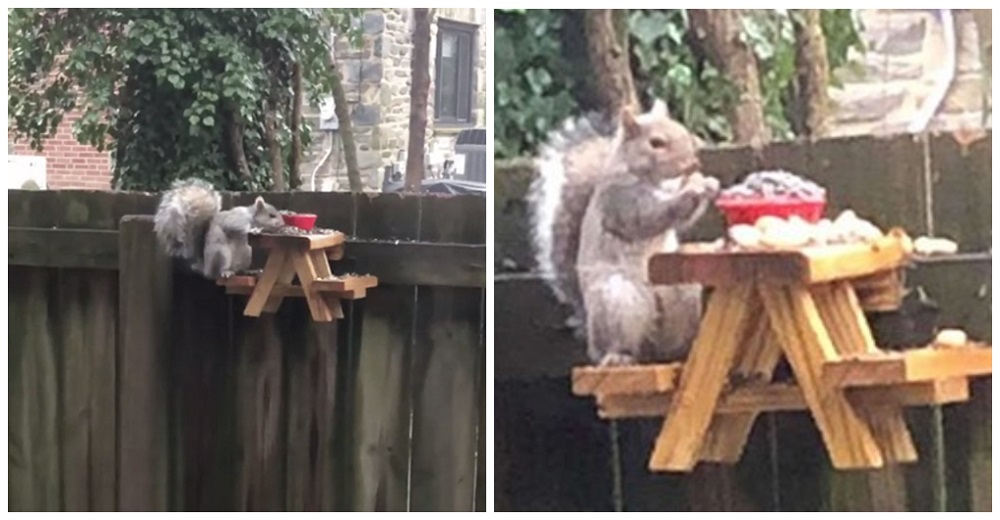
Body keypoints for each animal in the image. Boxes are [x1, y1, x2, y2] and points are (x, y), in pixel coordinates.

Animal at [153, 178, 286, 278]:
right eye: (271, 215)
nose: (282, 224)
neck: (251, 216)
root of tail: (205, 268)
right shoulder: (236, 219)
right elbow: (235, 227)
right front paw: (253, 230)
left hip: (247, 254)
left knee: (239, 270)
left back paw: (249, 271)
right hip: (221, 253)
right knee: (219, 272)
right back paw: (225, 272)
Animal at [532, 101, 720, 368]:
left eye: (683, 130)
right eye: (656, 143)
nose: (692, 164)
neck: (655, 180)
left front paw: (707, 184)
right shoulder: (621, 201)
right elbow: (650, 216)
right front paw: (693, 188)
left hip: (681, 294)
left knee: (664, 346)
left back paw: (678, 351)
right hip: (618, 302)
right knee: (622, 344)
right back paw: (618, 356)